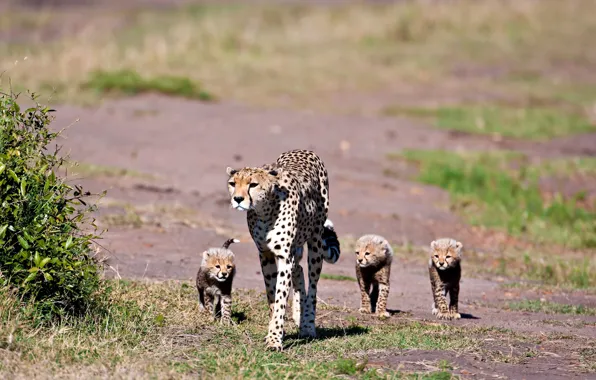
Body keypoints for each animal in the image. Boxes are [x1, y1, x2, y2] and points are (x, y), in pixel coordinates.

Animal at [227, 148, 342, 350]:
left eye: (253, 184)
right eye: (233, 183)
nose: (238, 199)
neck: (264, 212)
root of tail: (303, 150)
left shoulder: (284, 257)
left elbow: (281, 297)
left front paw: (274, 339)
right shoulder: (265, 254)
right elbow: (272, 295)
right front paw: (275, 331)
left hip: (315, 242)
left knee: (313, 285)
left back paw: (307, 325)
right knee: (299, 270)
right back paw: (298, 314)